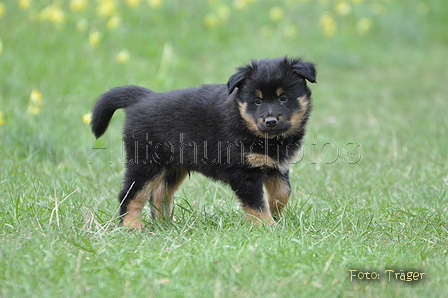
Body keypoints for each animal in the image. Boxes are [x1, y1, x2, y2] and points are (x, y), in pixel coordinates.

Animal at [91, 56, 316, 228]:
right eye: (257, 101)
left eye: (283, 98)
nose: (270, 121)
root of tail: (142, 98)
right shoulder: (243, 173)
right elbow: (257, 204)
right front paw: (268, 227)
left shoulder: (276, 166)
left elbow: (283, 193)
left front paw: (275, 214)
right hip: (145, 162)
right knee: (130, 195)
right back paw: (132, 227)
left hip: (172, 166)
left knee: (159, 195)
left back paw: (165, 225)